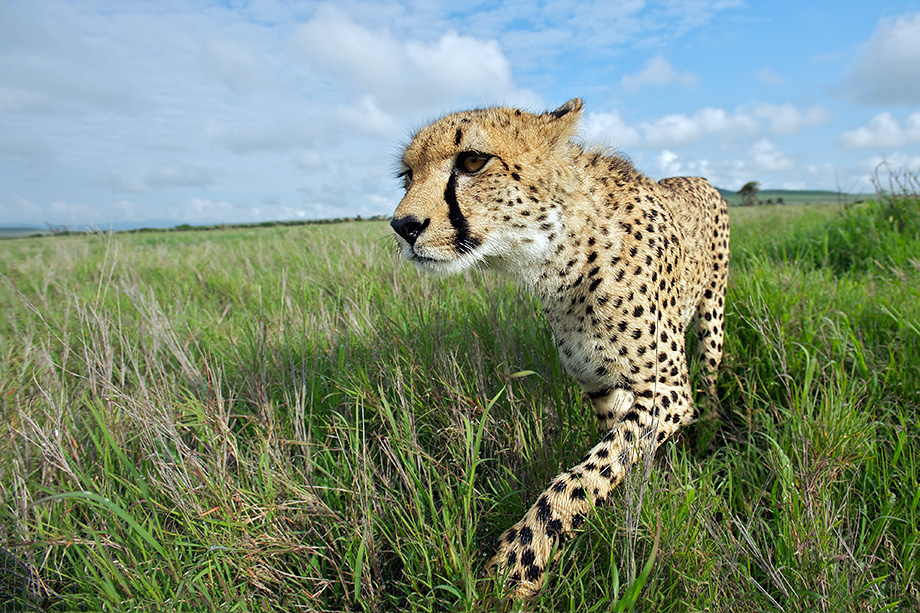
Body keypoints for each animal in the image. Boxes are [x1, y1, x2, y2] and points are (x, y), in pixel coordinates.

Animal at [392, 99, 728, 596]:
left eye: (472, 161)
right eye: (408, 175)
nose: (403, 226)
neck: (564, 254)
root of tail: (698, 177)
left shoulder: (668, 390)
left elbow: (582, 477)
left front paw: (517, 563)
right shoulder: (603, 386)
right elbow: (610, 460)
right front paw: (627, 504)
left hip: (712, 316)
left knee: (711, 375)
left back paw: (710, 431)